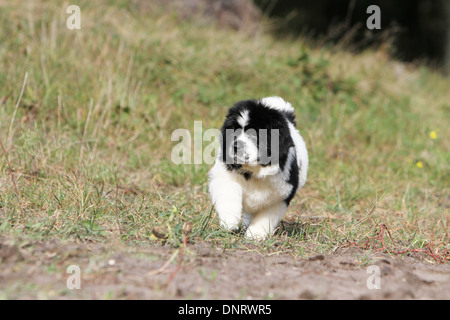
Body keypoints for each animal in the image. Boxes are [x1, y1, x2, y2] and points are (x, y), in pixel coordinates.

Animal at [208, 96, 308, 239]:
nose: (236, 146)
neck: (254, 170)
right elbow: (229, 194)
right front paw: (230, 221)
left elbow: (265, 218)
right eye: (234, 132)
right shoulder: (224, 176)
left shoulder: (280, 197)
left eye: (254, 135)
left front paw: (255, 234)